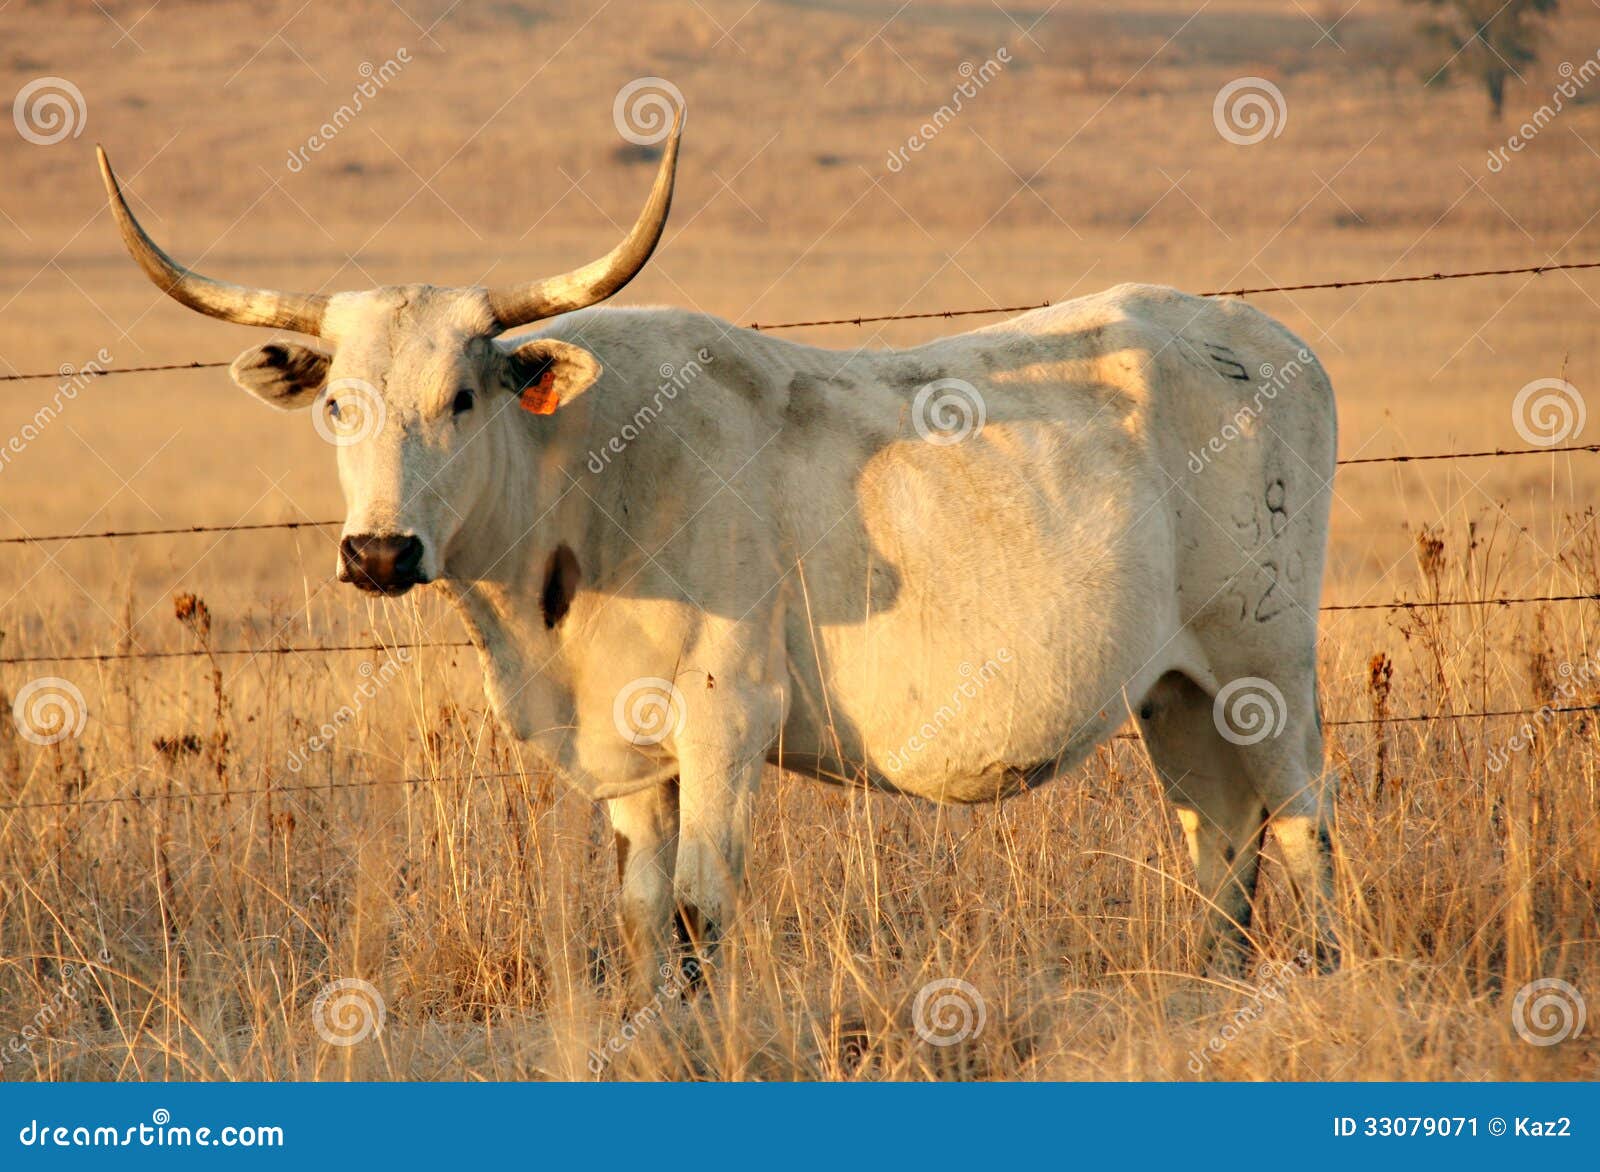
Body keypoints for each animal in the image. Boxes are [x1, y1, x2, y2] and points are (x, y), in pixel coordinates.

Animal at [97, 109, 1337, 988]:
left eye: (461, 394)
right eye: (336, 404)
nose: (378, 552)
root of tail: (1259, 331)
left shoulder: (726, 715)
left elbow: (701, 910)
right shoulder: (631, 750)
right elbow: (646, 917)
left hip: (1263, 668)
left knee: (1303, 821)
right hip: (1173, 689)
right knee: (1221, 838)